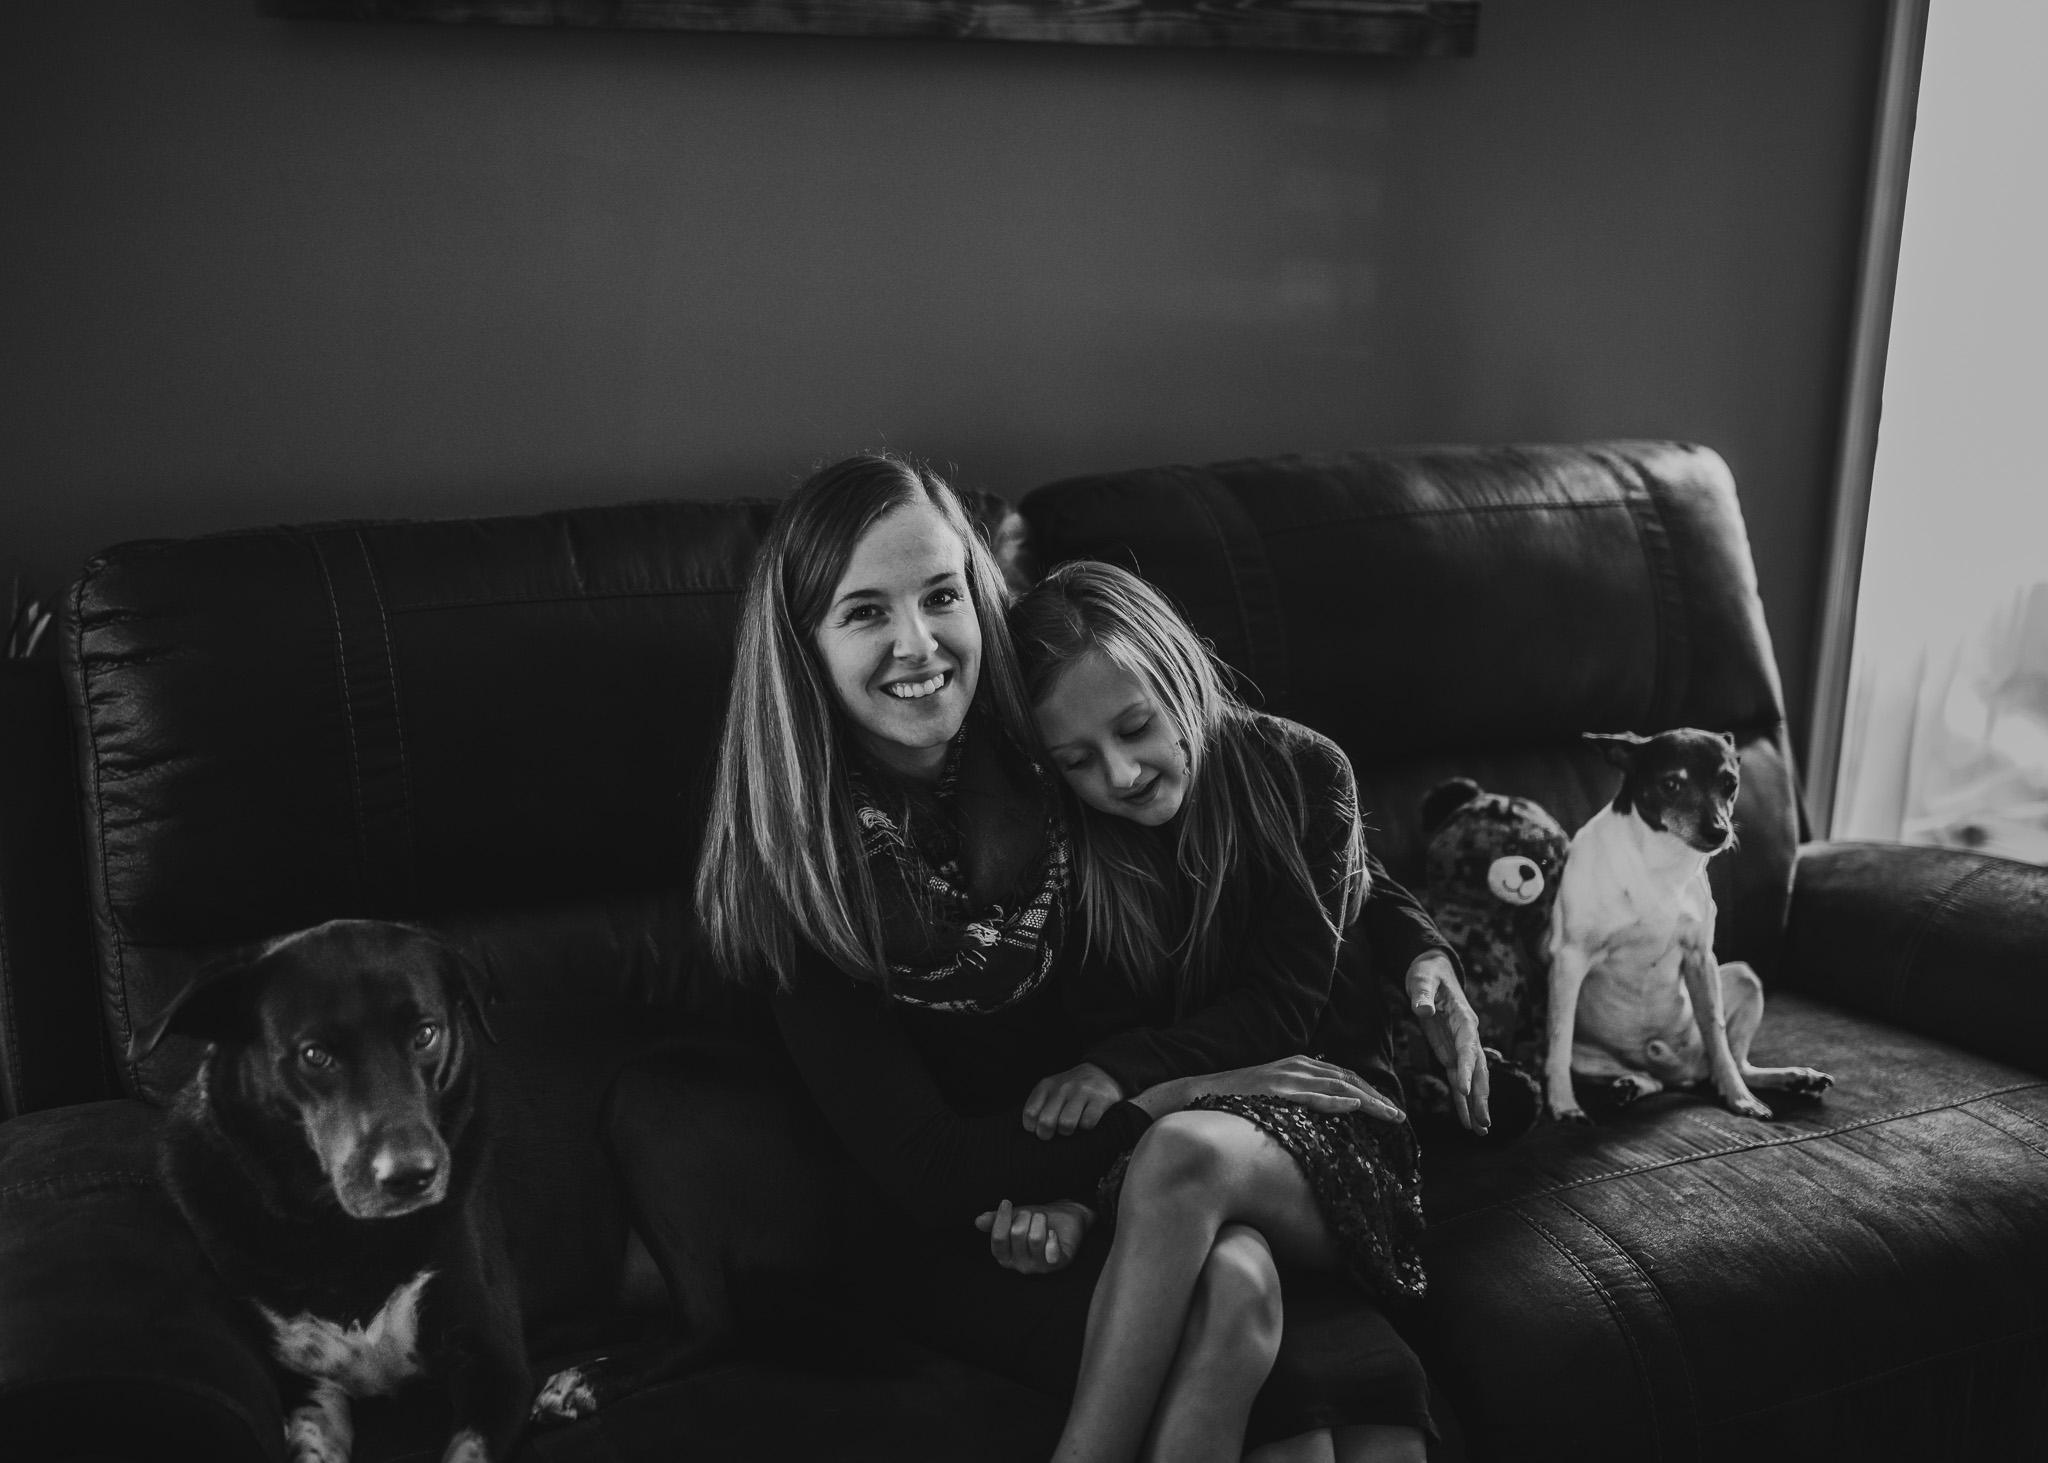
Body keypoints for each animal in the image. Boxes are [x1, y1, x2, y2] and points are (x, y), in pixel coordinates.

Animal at [136, 922, 532, 1458]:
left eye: (425, 1034)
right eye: (315, 1055)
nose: (412, 1176)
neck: (340, 1229)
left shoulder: (497, 1369)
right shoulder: (307, 1387)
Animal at [1540, 725, 1835, 1122]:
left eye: (1730, 784)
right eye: (1671, 784)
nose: (1718, 832)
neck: (1663, 862)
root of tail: (1684, 1072)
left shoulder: (1699, 959)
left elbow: (1716, 1032)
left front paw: (1738, 1098)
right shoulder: (1570, 959)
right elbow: (1559, 1040)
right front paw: (1563, 1105)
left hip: (1744, 977)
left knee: (1733, 1062)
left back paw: (1793, 1078)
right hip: (1588, 1055)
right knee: (1645, 1075)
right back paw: (1631, 1084)